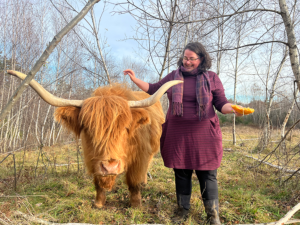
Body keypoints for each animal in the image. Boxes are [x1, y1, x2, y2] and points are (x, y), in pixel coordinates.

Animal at [8, 70, 182, 207]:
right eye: (88, 128)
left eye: (126, 128)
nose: (110, 167)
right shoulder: (92, 158)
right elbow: (98, 182)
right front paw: (98, 203)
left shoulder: (140, 157)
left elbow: (134, 181)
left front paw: (136, 205)